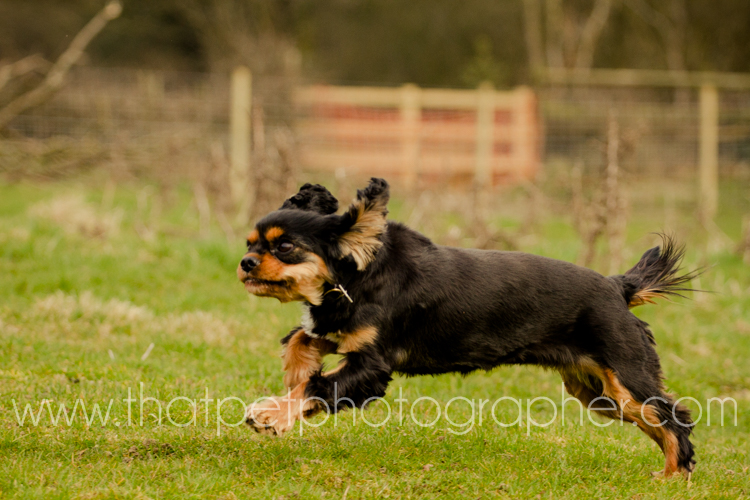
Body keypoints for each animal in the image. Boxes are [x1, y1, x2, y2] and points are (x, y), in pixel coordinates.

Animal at [238, 178, 700, 478]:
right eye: (250, 244)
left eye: (285, 246)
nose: (244, 263)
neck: (360, 271)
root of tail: (617, 286)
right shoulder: (340, 331)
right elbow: (302, 338)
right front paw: (296, 370)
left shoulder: (372, 366)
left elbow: (320, 385)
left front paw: (272, 412)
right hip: (598, 393)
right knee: (657, 420)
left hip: (625, 376)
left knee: (674, 416)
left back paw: (674, 476)